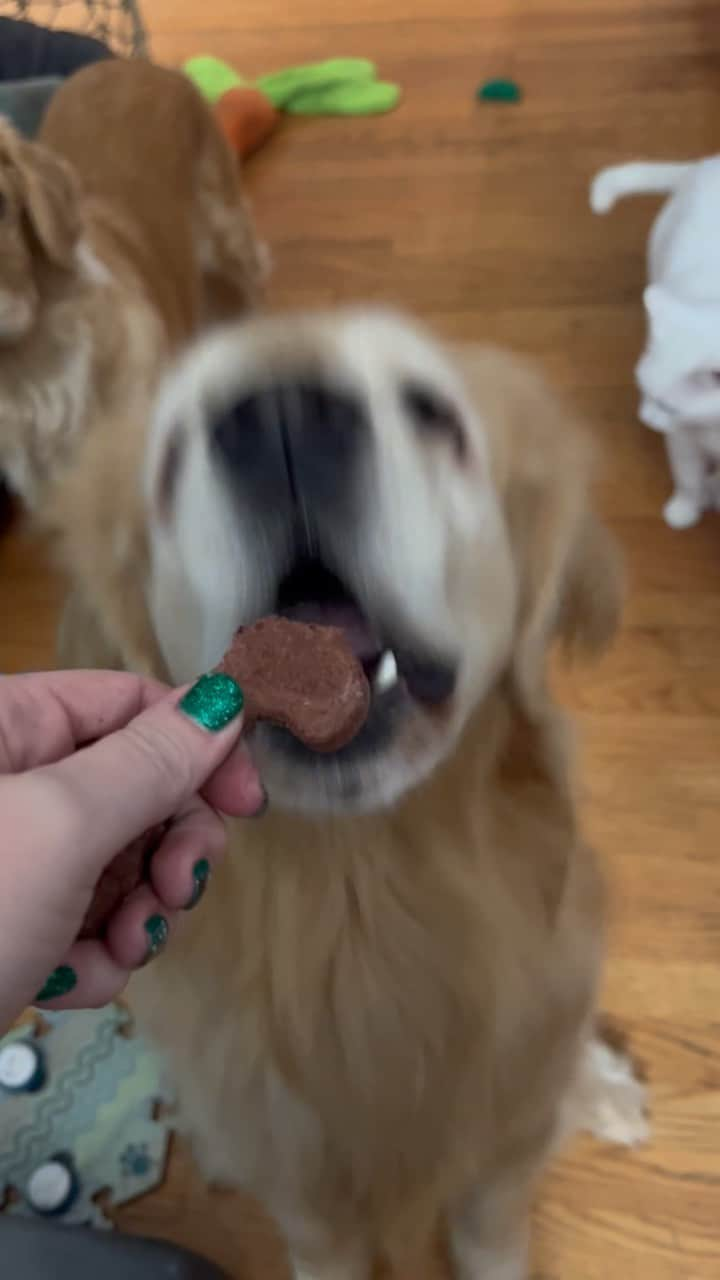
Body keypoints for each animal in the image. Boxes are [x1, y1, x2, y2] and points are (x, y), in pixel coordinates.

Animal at [586, 160, 717, 529]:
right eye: (645, 391)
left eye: (669, 407)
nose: (646, 418)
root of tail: (704, 163)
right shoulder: (684, 439)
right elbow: (687, 478)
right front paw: (685, 510)